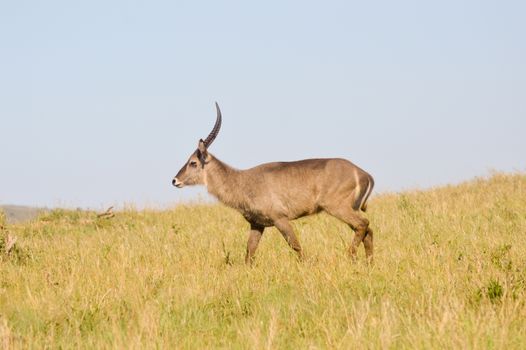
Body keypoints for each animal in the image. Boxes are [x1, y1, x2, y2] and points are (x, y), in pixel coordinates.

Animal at [173, 102, 376, 264]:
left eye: (193, 162)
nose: (174, 180)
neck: (241, 181)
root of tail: (363, 173)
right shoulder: (257, 224)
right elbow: (249, 252)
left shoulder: (280, 219)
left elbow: (295, 245)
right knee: (368, 230)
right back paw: (368, 264)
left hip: (337, 207)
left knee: (363, 224)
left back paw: (350, 257)